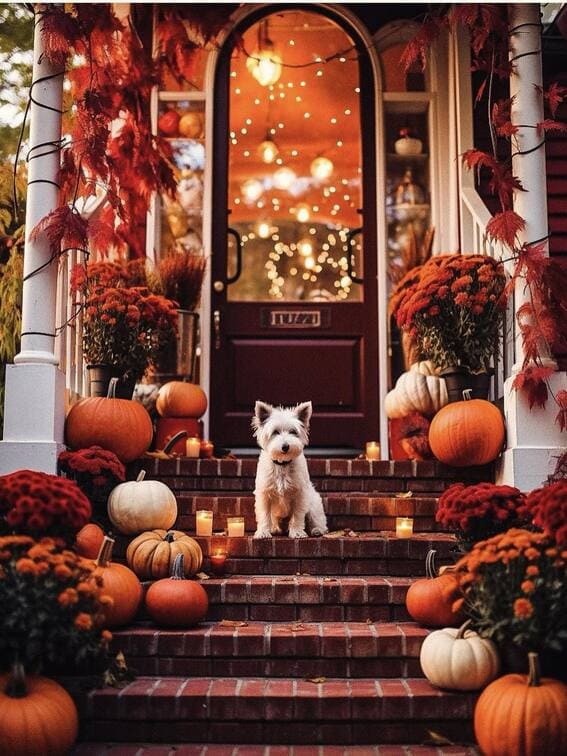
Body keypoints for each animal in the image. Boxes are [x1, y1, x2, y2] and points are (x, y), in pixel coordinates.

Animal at [252, 402, 328, 536]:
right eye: (275, 432)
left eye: (293, 431)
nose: (285, 446)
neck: (282, 464)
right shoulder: (264, 494)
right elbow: (264, 515)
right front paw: (263, 532)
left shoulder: (300, 494)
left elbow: (297, 515)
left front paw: (297, 532)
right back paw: (275, 529)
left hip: (314, 505)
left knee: (318, 521)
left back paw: (316, 530)